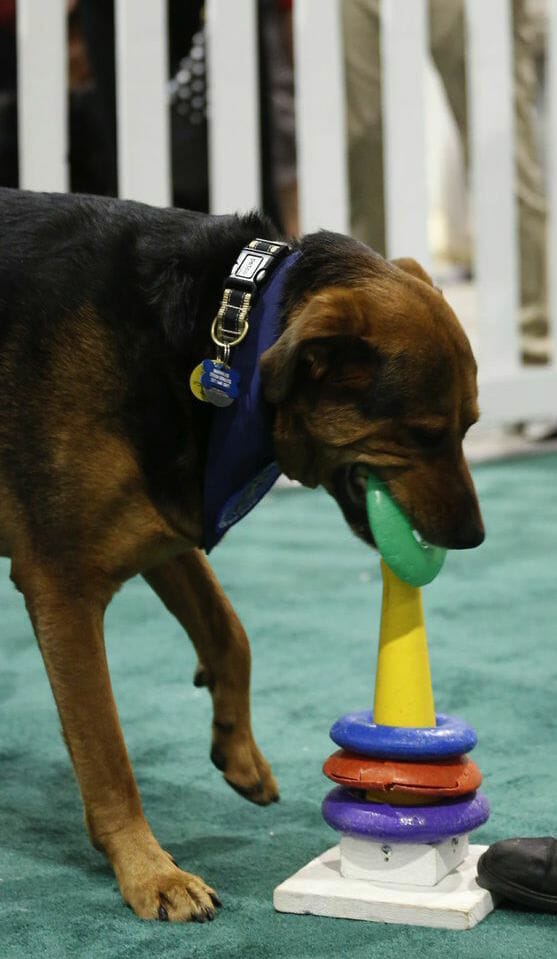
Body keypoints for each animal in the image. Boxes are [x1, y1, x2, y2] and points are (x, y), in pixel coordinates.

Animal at [0, 189, 482, 924]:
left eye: (470, 427)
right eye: (423, 433)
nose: (475, 536)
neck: (222, 326)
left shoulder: (165, 520)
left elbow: (230, 631)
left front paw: (238, 747)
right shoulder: (63, 583)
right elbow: (106, 752)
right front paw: (150, 871)